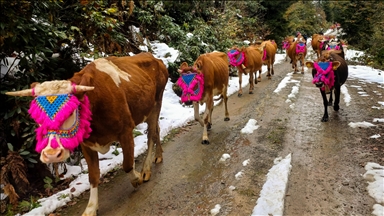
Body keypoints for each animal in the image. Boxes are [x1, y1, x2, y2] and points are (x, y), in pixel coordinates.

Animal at [5, 52, 168, 216]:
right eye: (36, 115)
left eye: (71, 110)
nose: (51, 154)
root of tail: (152, 56)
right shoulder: (86, 144)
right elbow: (93, 176)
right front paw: (91, 207)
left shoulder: (126, 131)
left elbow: (127, 165)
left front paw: (136, 179)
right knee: (157, 131)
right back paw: (158, 156)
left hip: (156, 105)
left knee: (151, 136)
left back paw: (146, 170)